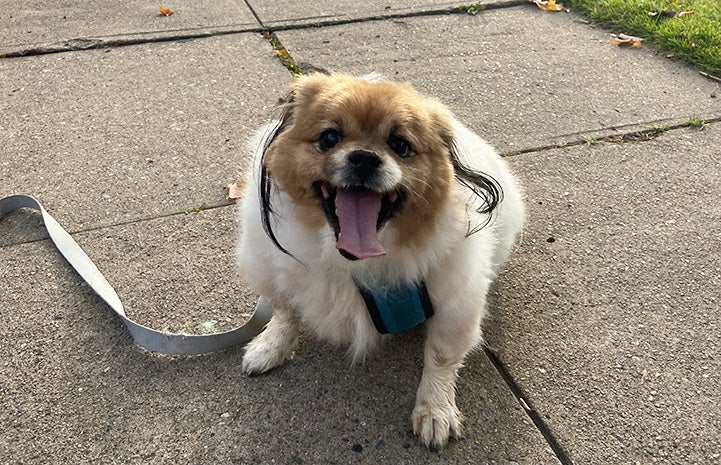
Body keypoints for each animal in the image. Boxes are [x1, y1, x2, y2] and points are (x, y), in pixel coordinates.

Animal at [236, 72, 524, 450]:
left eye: (400, 145)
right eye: (329, 137)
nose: (365, 157)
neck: (353, 260)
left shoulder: (456, 304)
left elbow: (441, 358)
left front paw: (435, 411)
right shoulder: (270, 270)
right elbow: (285, 312)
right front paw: (270, 347)